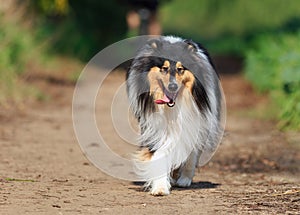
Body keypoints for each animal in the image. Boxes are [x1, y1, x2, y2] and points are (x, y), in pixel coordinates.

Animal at [126, 36, 225, 196]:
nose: (172, 87)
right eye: (164, 68)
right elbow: (159, 153)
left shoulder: (197, 122)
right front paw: (160, 187)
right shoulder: (154, 128)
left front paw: (184, 179)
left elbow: (191, 153)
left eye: (180, 69)